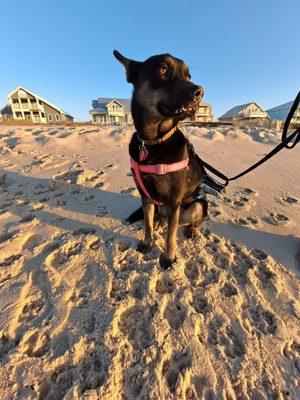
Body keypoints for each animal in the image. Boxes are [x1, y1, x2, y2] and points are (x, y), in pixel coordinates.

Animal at [113, 50, 207, 268]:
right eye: (163, 69)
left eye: (188, 76)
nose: (200, 92)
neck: (152, 142)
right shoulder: (146, 197)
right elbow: (147, 224)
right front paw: (148, 242)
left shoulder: (174, 202)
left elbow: (170, 235)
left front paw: (169, 257)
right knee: (158, 219)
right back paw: (158, 222)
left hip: (197, 206)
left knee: (190, 221)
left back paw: (191, 229)